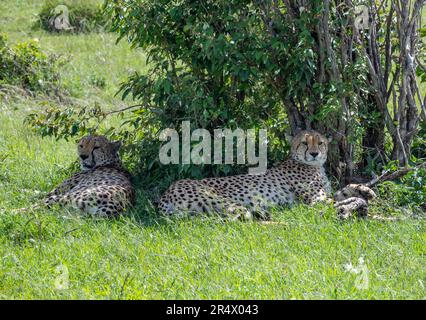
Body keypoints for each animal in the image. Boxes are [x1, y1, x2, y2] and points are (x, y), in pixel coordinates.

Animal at [159, 129, 332, 219]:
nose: (314, 154)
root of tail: (168, 191)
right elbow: (332, 200)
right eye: (304, 143)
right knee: (243, 219)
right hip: (221, 201)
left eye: (320, 143)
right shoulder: (316, 199)